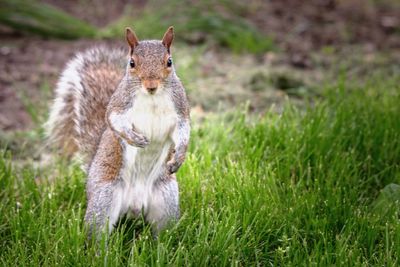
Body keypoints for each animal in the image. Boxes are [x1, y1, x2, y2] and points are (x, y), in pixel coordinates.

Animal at [45, 26, 191, 238]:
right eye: (132, 63)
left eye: (169, 62)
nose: (151, 85)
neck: (152, 98)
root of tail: (135, 207)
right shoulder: (119, 104)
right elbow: (114, 120)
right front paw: (134, 138)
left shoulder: (181, 109)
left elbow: (183, 131)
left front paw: (178, 156)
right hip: (104, 199)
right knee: (97, 232)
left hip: (167, 200)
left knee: (164, 232)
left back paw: (163, 246)